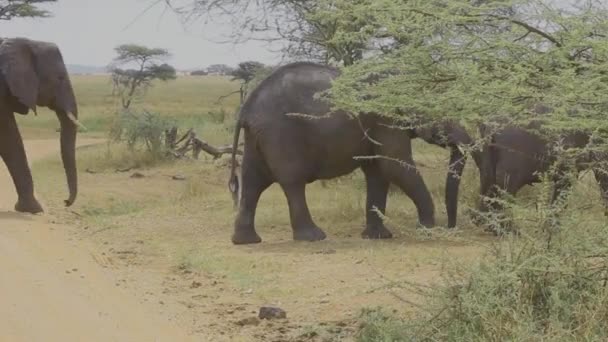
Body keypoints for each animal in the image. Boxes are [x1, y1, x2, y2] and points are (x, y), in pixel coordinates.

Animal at [226, 60, 472, 243]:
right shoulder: (385, 121)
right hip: (280, 134)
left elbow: (378, 172)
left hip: (257, 137)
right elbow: (395, 166)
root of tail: (246, 108)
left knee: (253, 182)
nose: (450, 228)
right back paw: (314, 237)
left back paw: (246, 241)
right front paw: (427, 230)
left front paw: (378, 237)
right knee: (292, 182)